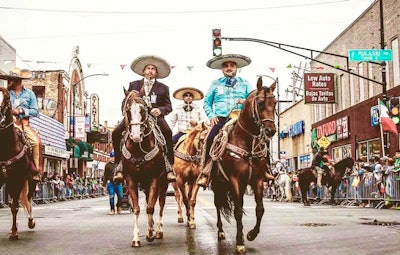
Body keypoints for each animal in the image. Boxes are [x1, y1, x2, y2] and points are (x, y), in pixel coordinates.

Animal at [120, 90, 167, 247]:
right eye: (128, 110)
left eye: (144, 109)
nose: (135, 136)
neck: (138, 149)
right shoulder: (130, 179)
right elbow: (137, 208)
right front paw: (136, 238)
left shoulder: (154, 178)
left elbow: (151, 207)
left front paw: (151, 234)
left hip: (164, 183)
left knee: (160, 204)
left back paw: (157, 231)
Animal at [209, 77, 278, 253]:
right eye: (260, 104)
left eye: (275, 103)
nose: (270, 131)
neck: (246, 142)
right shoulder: (235, 180)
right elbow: (238, 211)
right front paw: (240, 242)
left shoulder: (257, 180)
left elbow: (260, 209)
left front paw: (251, 234)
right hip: (217, 184)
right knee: (218, 205)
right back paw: (220, 231)